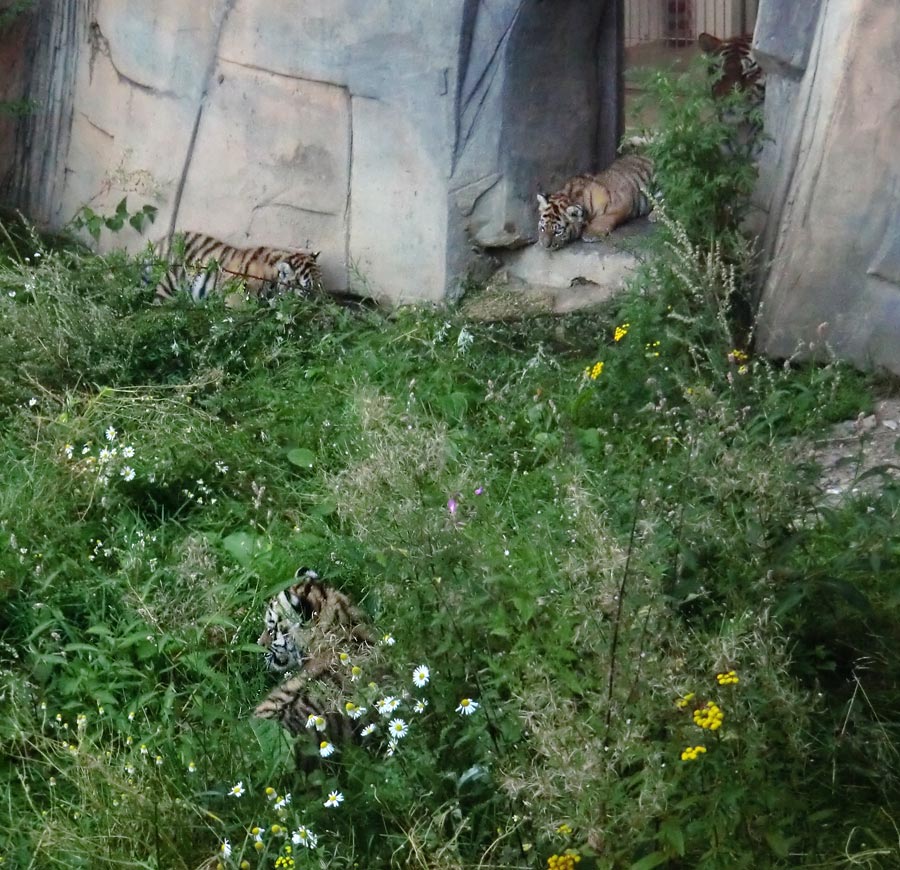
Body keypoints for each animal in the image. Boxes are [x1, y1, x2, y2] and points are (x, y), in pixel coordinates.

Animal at [153, 232, 322, 304]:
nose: (319, 306)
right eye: (306, 291)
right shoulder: (235, 294)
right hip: (169, 284)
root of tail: (161, 240)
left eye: (320, 287)